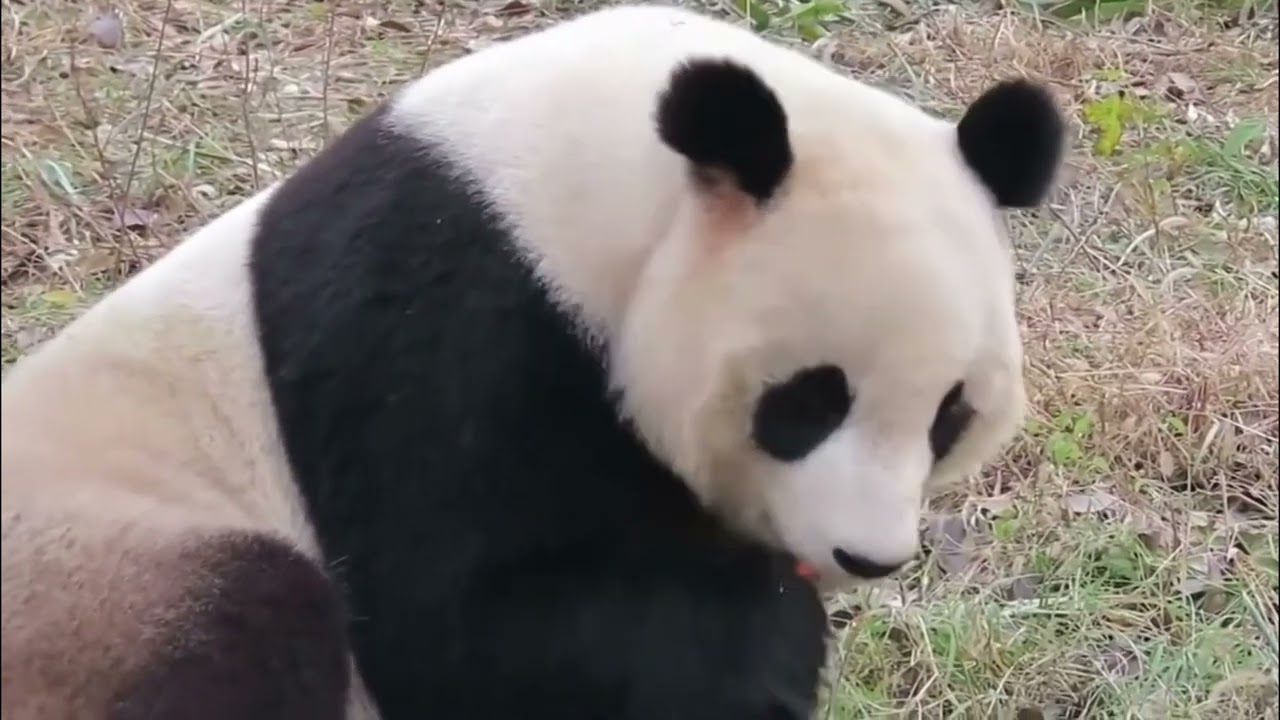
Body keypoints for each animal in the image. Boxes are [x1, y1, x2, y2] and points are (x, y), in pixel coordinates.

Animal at [0, 4, 1063, 719]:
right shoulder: (449, 330)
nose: (866, 557)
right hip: (103, 582)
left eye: (950, 415)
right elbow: (464, 625)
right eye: (807, 401)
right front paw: (769, 635)